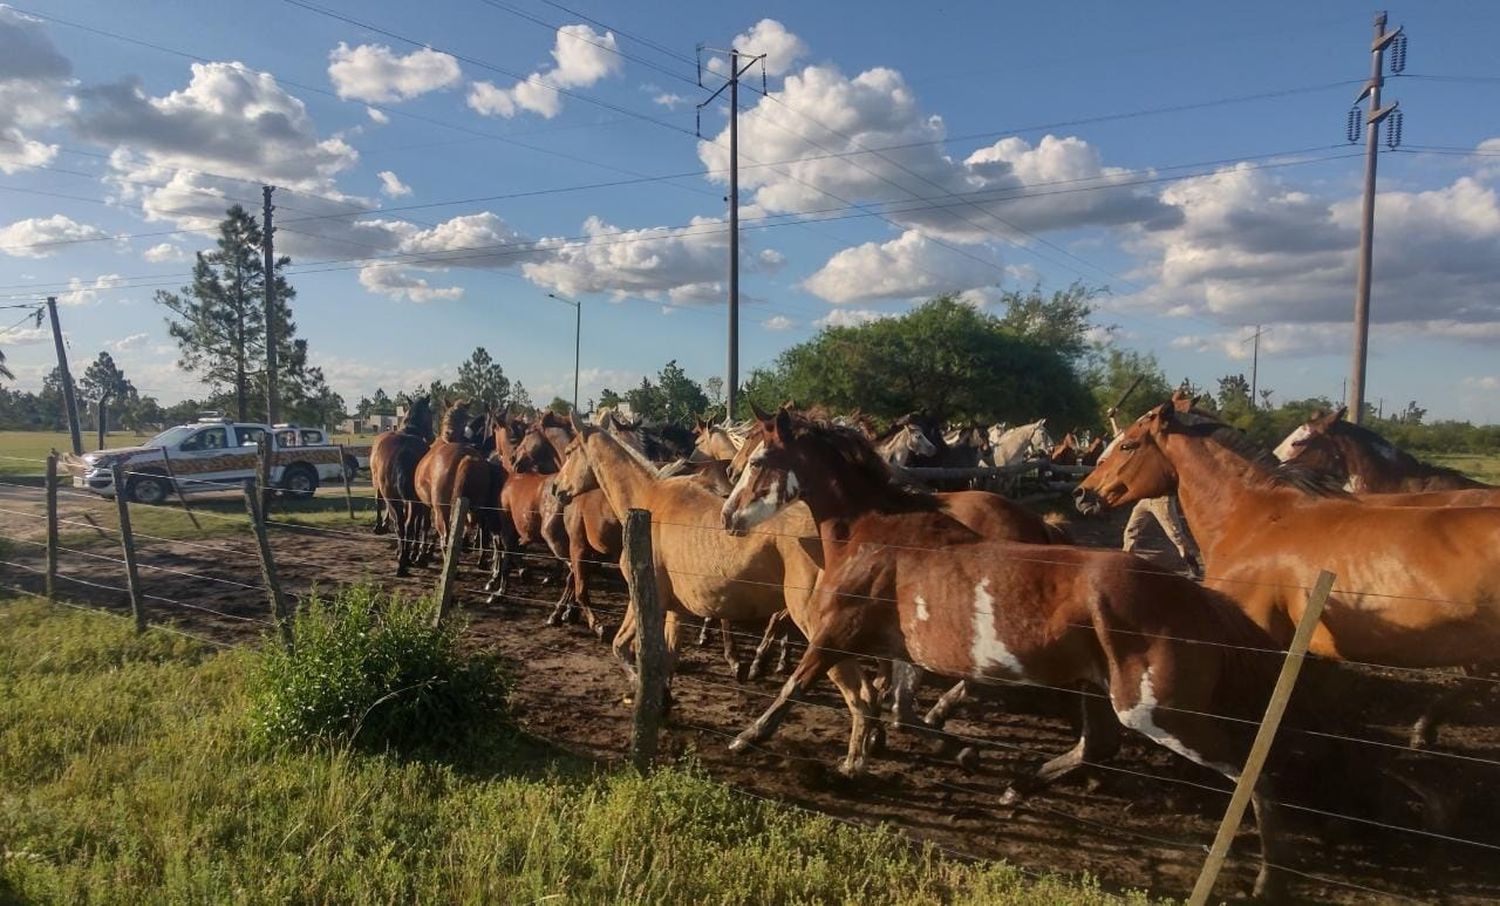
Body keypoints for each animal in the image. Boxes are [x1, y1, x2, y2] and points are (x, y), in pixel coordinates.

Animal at [720, 405, 1284, 900]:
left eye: (757, 460)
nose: (728, 516)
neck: (875, 535)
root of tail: (1197, 599)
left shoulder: (837, 631)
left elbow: (798, 684)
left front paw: (748, 738)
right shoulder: (903, 649)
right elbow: (897, 707)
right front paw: (922, 749)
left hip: (1156, 710)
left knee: (1252, 773)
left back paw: (1266, 877)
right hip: (1099, 690)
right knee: (1098, 746)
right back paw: (1016, 787)